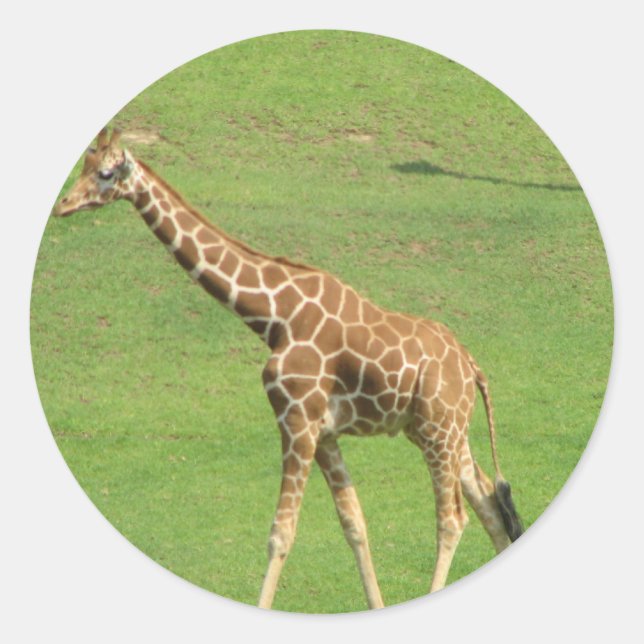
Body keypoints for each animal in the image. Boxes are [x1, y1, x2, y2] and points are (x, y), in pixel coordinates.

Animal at [52, 128, 523, 610]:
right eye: (85, 165)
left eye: (105, 173)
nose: (63, 205)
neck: (274, 316)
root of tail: (472, 366)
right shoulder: (324, 430)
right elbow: (354, 524)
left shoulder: (295, 419)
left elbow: (281, 533)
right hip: (443, 429)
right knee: (490, 504)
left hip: (437, 430)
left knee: (453, 518)